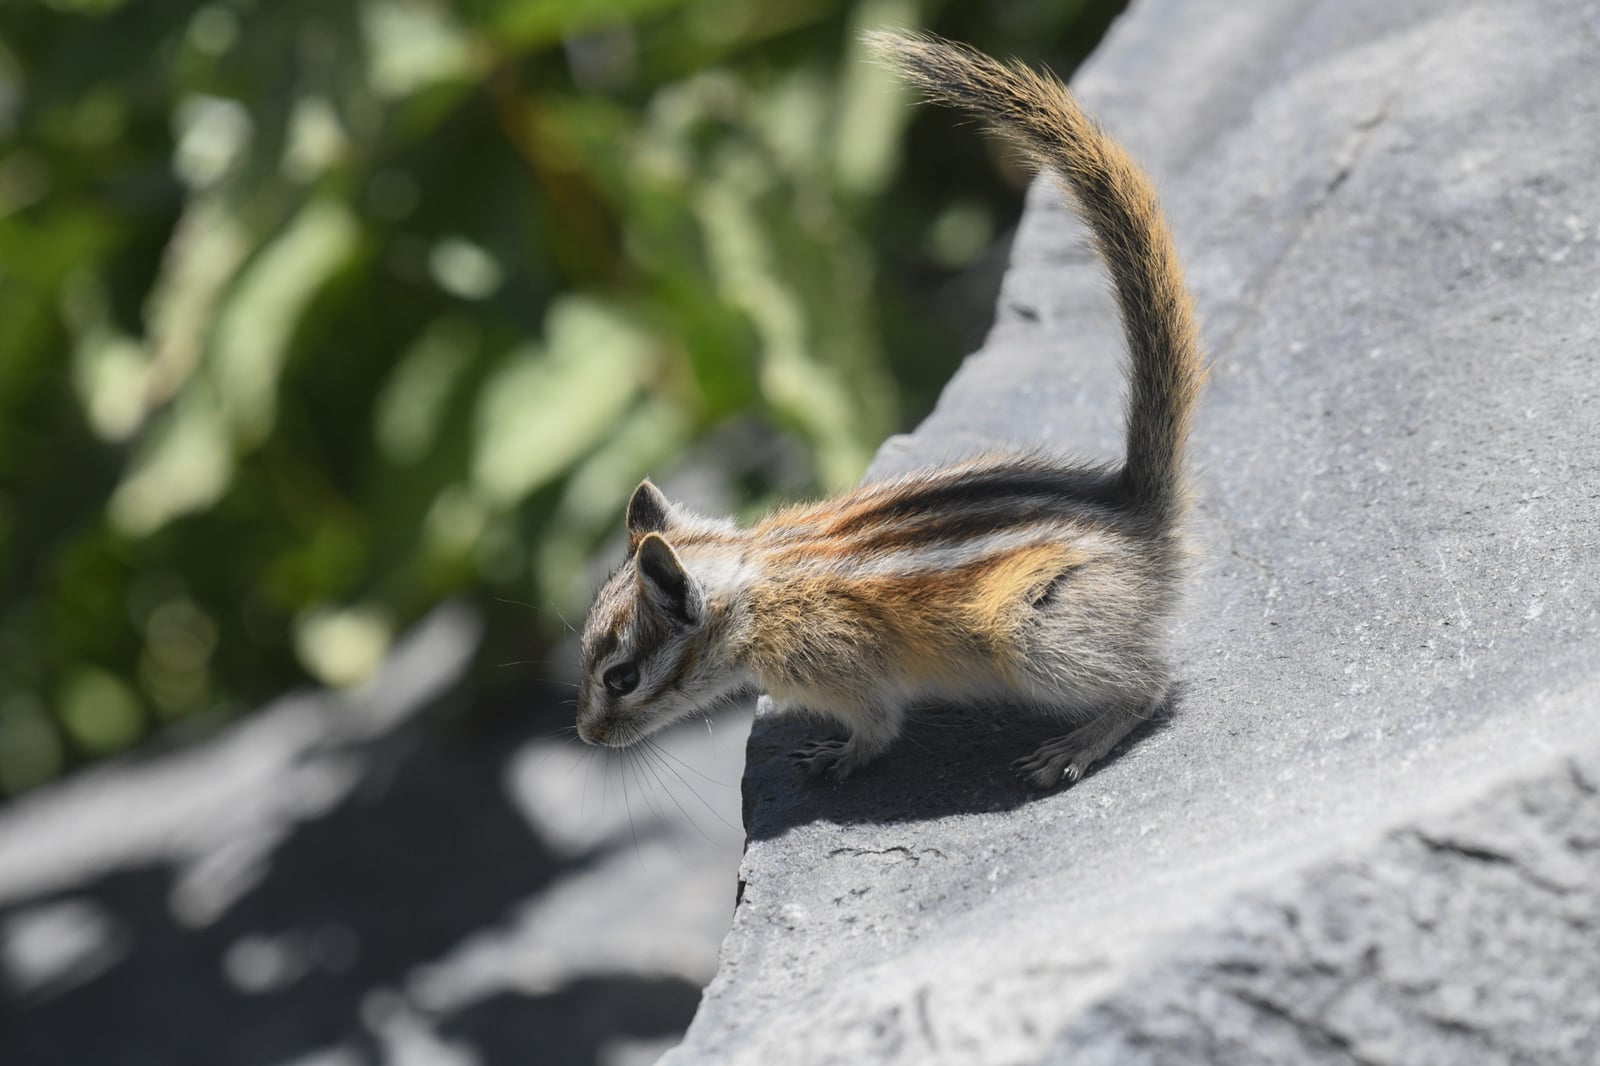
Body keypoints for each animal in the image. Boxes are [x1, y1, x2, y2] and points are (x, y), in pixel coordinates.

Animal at [575, 32, 1205, 789]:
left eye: (621, 677)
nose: (584, 734)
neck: (750, 591)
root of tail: (1139, 511)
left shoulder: (846, 671)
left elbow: (878, 727)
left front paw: (837, 757)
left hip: (1037, 636)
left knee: (1152, 686)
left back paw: (1076, 745)